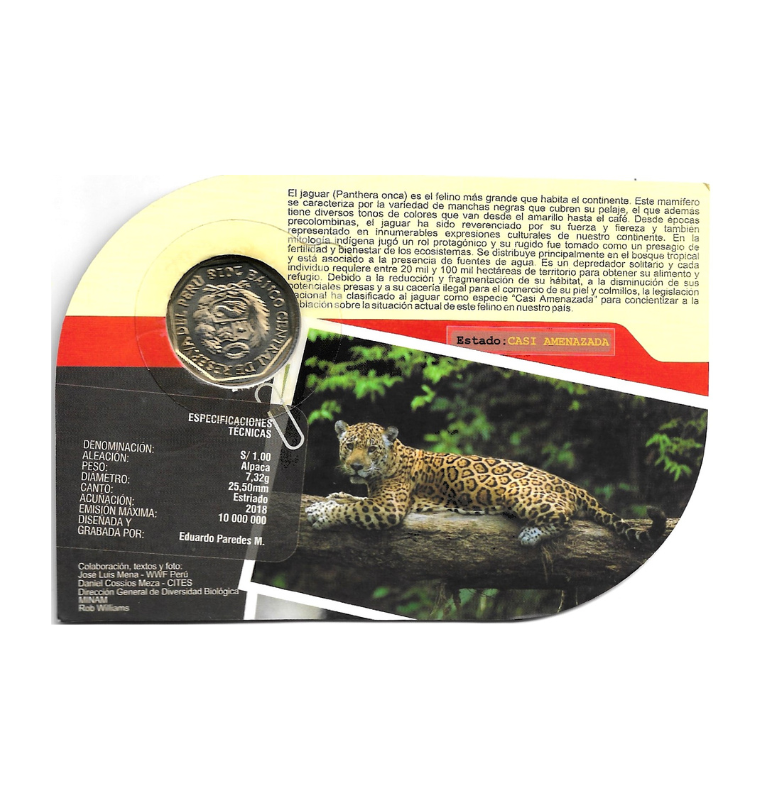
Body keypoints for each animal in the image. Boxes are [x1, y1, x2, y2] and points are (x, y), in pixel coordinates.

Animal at [305, 421, 666, 546]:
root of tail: (569, 484)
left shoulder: (388, 507)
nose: (355, 465)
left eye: (371, 449)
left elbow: (353, 511)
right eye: (349, 445)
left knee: (565, 515)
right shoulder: (375, 497)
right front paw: (338, 494)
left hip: (523, 494)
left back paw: (531, 535)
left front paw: (321, 513)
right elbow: (354, 501)